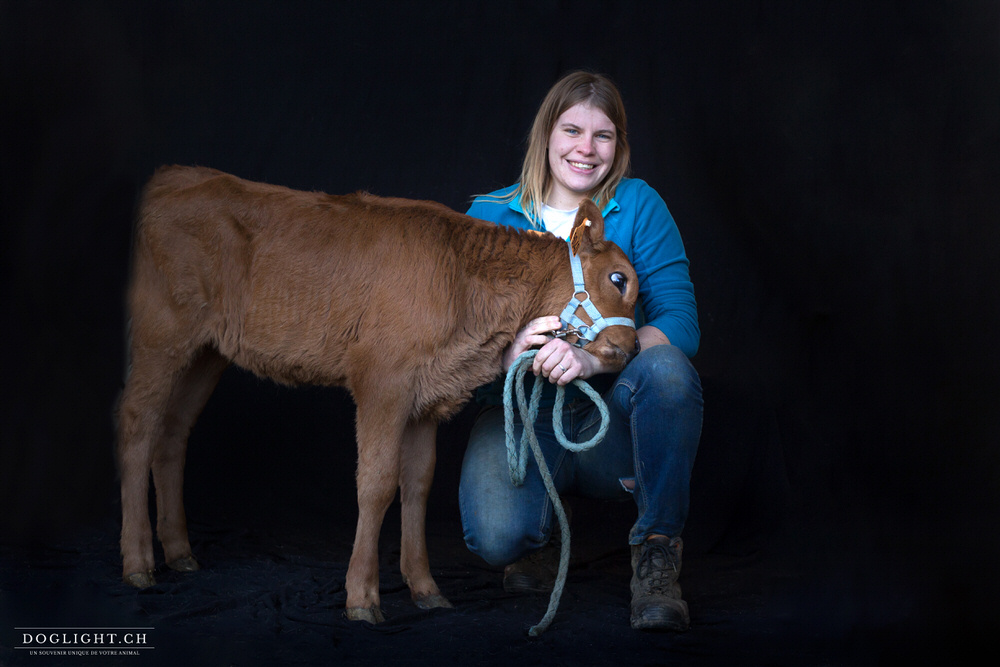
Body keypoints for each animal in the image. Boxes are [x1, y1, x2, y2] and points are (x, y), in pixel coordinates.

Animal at [115, 164, 632, 624]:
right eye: (619, 278)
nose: (628, 347)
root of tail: (176, 175)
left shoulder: (427, 394)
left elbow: (417, 483)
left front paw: (425, 588)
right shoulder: (383, 381)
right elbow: (377, 483)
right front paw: (362, 596)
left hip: (207, 350)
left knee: (172, 433)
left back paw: (179, 551)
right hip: (163, 332)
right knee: (138, 426)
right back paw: (138, 561)